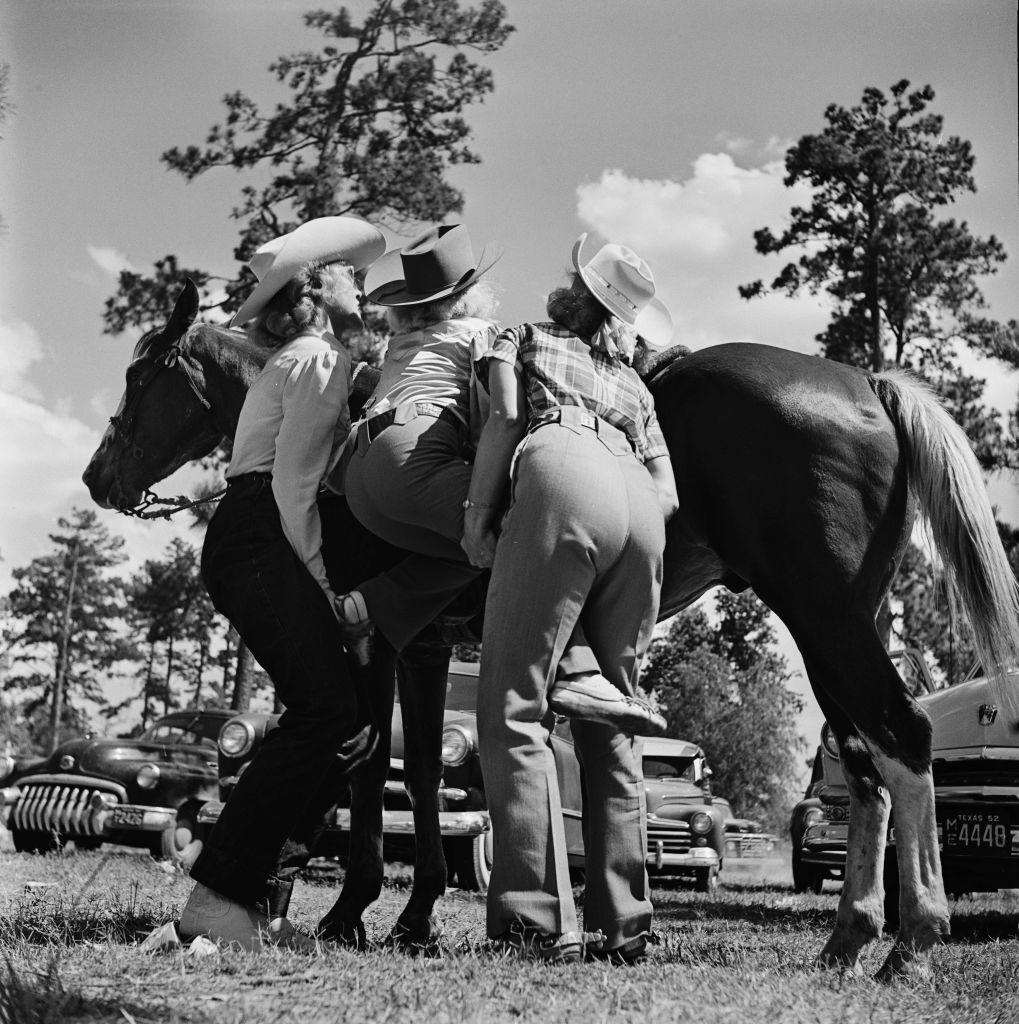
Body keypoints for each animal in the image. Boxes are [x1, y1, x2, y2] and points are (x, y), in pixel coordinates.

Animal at [85, 282, 1019, 983]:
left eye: (136, 376)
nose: (98, 477)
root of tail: (865, 385)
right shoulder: (422, 645)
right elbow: (417, 775)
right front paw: (409, 913)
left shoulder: (371, 641)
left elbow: (369, 770)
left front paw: (355, 910)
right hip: (832, 628)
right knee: (863, 764)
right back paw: (849, 937)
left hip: (825, 616)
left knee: (901, 737)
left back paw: (912, 939)